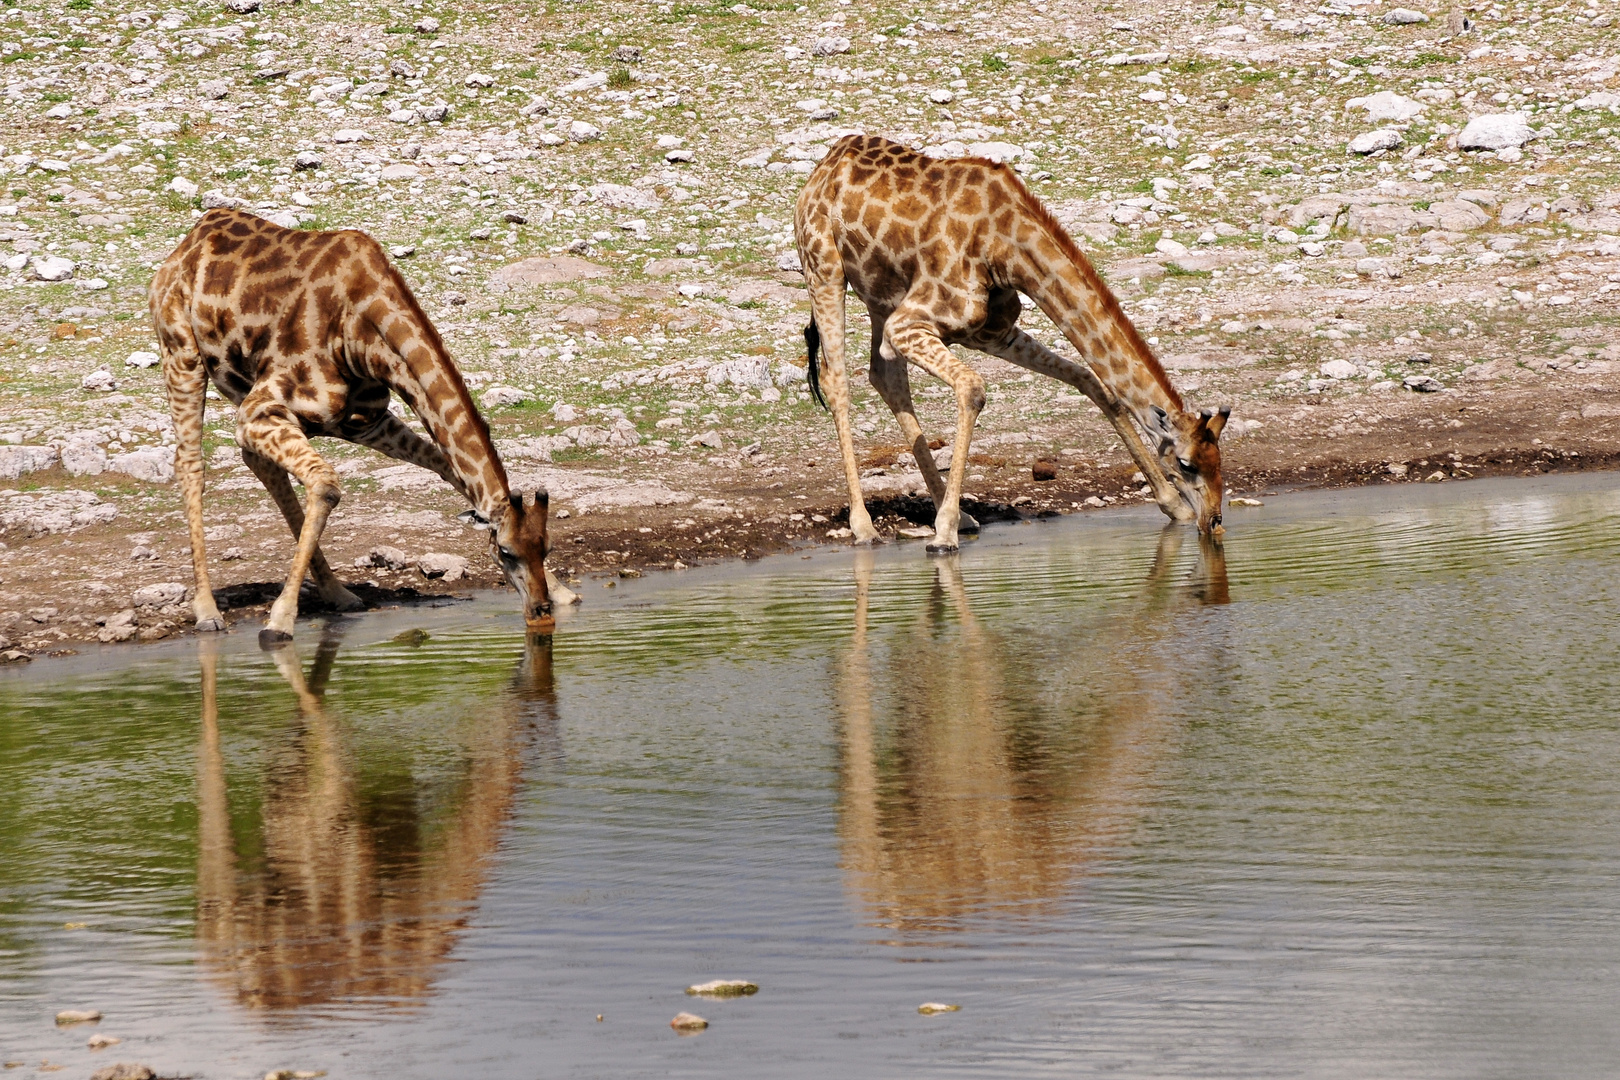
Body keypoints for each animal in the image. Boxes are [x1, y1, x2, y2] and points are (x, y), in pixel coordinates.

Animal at [152, 208, 567, 641]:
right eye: (505, 552)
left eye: (547, 547)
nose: (541, 613)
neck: (362, 332)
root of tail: (189, 240)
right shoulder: (258, 410)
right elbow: (326, 486)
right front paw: (278, 623)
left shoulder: (366, 422)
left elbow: (445, 465)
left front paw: (563, 591)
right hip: (181, 354)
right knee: (191, 464)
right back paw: (207, 610)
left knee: (259, 463)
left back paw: (339, 593)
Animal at [793, 136, 1224, 553]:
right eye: (1187, 464)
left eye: (1219, 458)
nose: (1215, 521)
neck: (1005, 246)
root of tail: (821, 170)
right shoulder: (908, 323)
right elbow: (972, 388)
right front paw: (943, 535)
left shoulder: (992, 333)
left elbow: (1093, 381)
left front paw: (1171, 505)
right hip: (824, 268)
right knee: (837, 380)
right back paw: (865, 526)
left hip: (880, 294)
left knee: (885, 376)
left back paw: (961, 516)